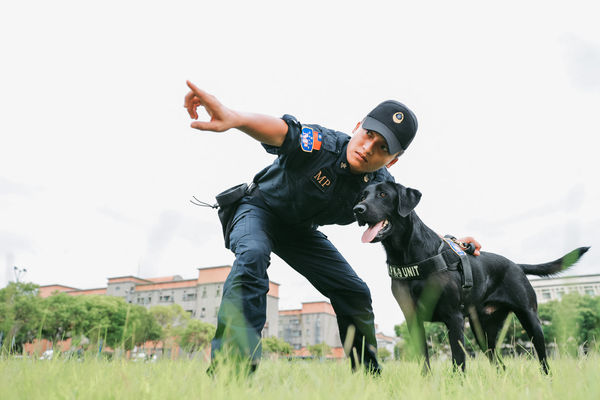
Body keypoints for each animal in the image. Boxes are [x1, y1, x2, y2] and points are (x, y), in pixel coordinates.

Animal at [354, 182, 588, 376]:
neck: (407, 255)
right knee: (500, 363)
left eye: (383, 194)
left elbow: (458, 360)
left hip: (530, 319)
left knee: (543, 359)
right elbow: (424, 360)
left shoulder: (454, 317)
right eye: (363, 195)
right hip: (483, 331)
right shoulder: (413, 319)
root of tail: (516, 265)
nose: (358, 209)